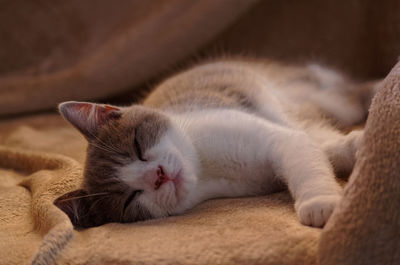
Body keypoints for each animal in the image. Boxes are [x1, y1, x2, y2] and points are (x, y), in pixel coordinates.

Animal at [54, 57, 376, 227]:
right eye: (130, 197)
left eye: (137, 146)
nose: (158, 176)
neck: (206, 167)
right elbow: (318, 149)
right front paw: (354, 148)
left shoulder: (271, 135)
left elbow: (306, 155)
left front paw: (321, 202)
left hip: (327, 101)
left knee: (350, 95)